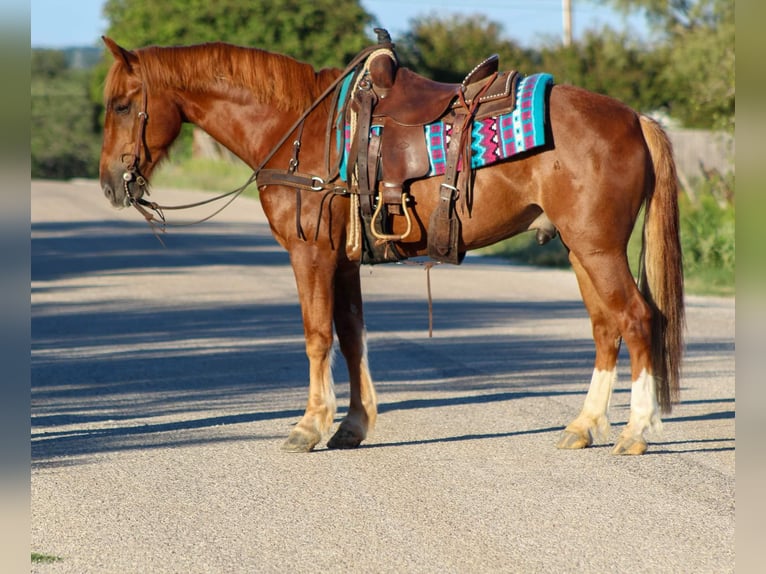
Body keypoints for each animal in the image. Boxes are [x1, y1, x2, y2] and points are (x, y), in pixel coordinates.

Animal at [99, 37, 688, 460]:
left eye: (123, 106)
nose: (109, 184)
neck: (301, 128)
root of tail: (634, 118)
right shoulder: (343, 262)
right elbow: (351, 335)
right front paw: (352, 426)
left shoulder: (310, 254)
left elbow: (317, 336)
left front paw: (308, 426)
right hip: (577, 249)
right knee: (606, 327)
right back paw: (584, 426)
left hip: (598, 249)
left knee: (638, 320)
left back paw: (636, 431)